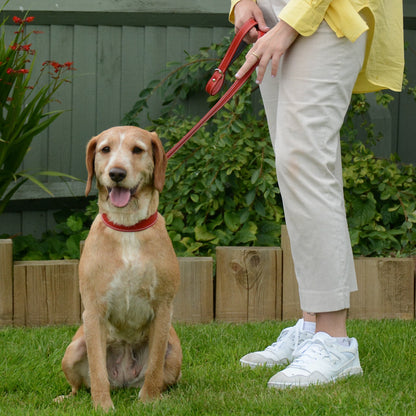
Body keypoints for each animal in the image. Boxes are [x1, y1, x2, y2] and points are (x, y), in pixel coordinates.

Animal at [57, 125, 182, 412]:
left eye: (138, 149)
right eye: (105, 149)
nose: (116, 173)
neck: (127, 228)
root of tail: (124, 380)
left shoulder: (163, 308)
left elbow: (154, 367)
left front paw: (149, 401)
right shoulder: (94, 311)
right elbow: (98, 372)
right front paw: (102, 407)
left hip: (175, 351)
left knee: (164, 376)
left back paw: (162, 396)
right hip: (73, 350)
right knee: (79, 386)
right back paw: (67, 398)